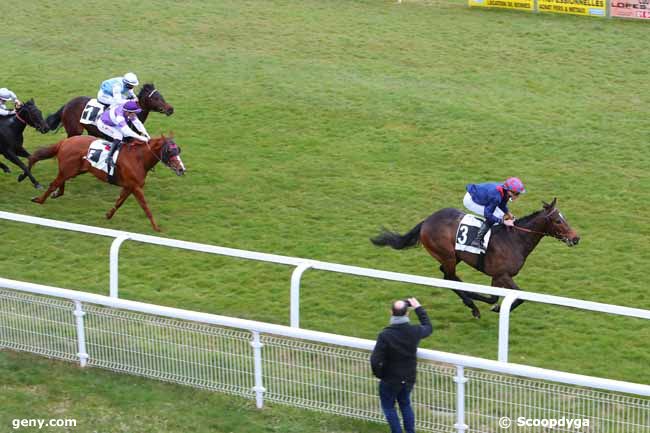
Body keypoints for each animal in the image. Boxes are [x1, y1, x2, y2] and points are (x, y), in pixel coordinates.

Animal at [28, 134, 185, 231]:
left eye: (178, 150)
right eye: (170, 151)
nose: (182, 169)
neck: (138, 158)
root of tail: (65, 141)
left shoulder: (129, 186)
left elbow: (119, 202)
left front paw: (108, 215)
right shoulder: (135, 187)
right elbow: (145, 207)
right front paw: (156, 228)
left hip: (75, 170)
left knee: (60, 185)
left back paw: (54, 194)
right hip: (69, 170)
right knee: (54, 184)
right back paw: (39, 200)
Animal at [372, 199, 580, 318]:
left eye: (564, 218)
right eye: (558, 221)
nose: (576, 238)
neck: (515, 239)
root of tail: (427, 221)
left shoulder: (497, 276)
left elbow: (494, 296)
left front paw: (492, 304)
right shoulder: (503, 275)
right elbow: (519, 296)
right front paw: (496, 308)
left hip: (454, 256)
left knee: (447, 275)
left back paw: (471, 301)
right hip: (447, 254)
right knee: (449, 277)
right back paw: (472, 303)